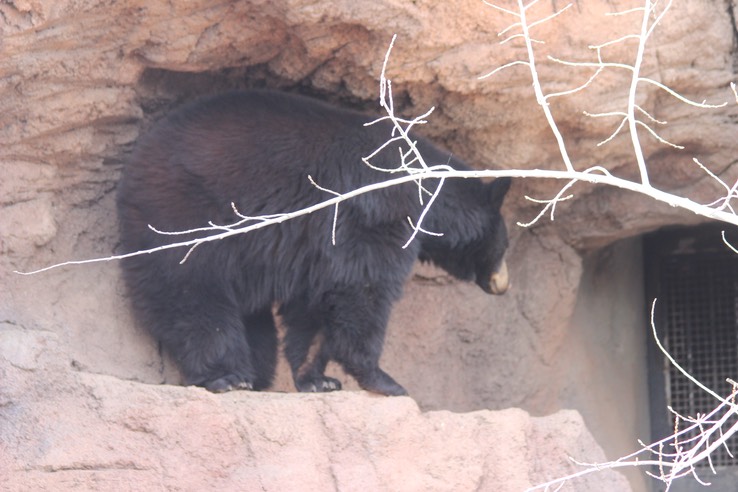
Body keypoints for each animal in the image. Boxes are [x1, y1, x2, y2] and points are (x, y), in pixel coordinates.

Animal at [118, 89, 508, 396]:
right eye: (505, 247)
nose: (504, 284)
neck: (423, 189)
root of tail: (136, 162)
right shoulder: (374, 211)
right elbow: (362, 287)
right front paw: (383, 379)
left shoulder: (317, 243)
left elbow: (315, 301)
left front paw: (316, 378)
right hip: (184, 213)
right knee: (190, 292)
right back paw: (226, 375)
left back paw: (256, 374)